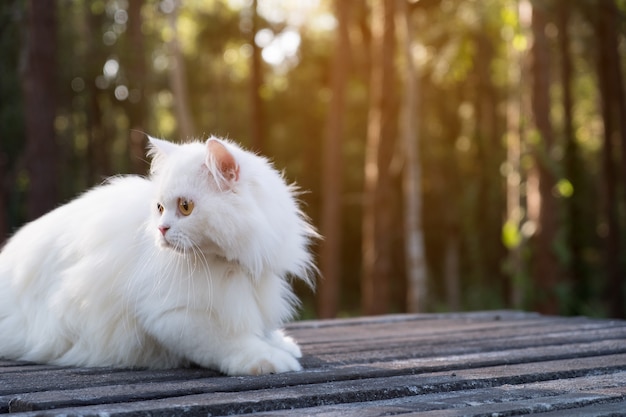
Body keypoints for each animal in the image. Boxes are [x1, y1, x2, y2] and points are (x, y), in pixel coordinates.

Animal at [0, 136, 314, 374]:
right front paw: (268, 359)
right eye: (160, 208)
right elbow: (231, 340)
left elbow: (262, 328)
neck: (232, 261)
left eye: (186, 207)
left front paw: (281, 343)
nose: (161, 229)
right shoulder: (172, 314)